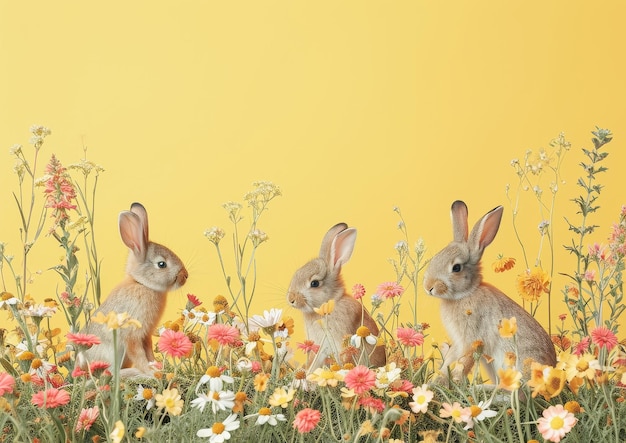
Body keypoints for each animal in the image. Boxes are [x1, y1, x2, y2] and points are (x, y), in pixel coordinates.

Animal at [76, 203, 188, 376]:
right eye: (161, 264)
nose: (185, 276)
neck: (141, 284)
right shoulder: (133, 334)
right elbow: (138, 353)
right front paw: (149, 371)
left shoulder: (146, 335)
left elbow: (148, 351)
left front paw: (156, 367)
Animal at [422, 201, 552, 386]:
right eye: (435, 259)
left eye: (456, 268)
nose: (428, 287)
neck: (466, 293)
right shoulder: (457, 342)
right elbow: (449, 360)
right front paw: (436, 382)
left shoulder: (471, 338)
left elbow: (464, 362)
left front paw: (451, 381)